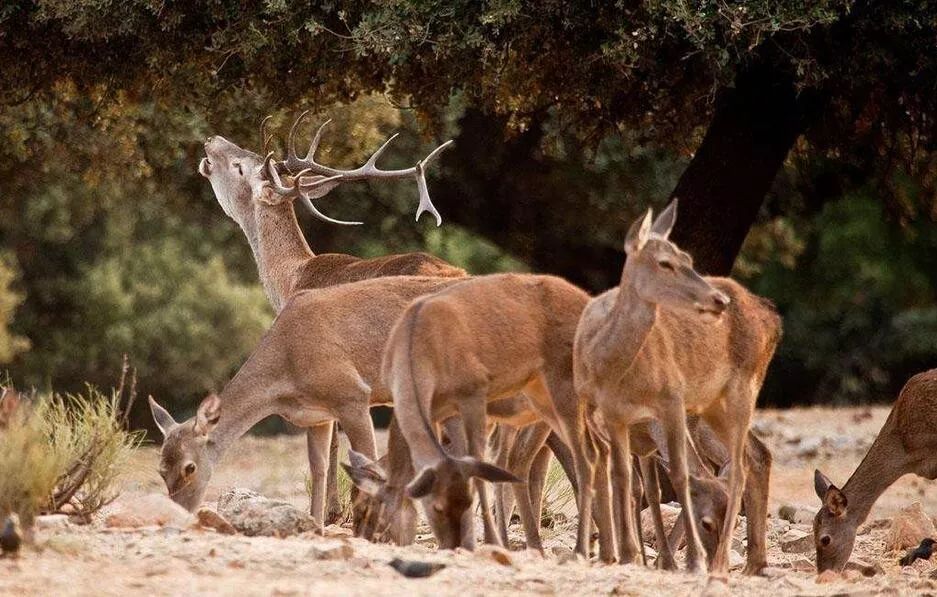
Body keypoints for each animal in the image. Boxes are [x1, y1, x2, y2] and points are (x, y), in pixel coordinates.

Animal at [376, 274, 596, 556]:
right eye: (435, 506)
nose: (451, 544)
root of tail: (585, 299)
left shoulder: (473, 392)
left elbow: (478, 463)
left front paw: (491, 541)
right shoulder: (443, 411)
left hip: (565, 387)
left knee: (584, 459)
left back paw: (582, 549)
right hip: (541, 401)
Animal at [576, 201, 780, 576]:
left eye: (687, 257)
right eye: (665, 262)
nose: (717, 300)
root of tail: (773, 318)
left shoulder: (663, 412)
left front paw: (654, 557)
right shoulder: (613, 425)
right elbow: (625, 480)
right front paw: (627, 553)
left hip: (737, 392)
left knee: (732, 465)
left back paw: (716, 561)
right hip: (713, 407)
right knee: (754, 455)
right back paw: (753, 562)